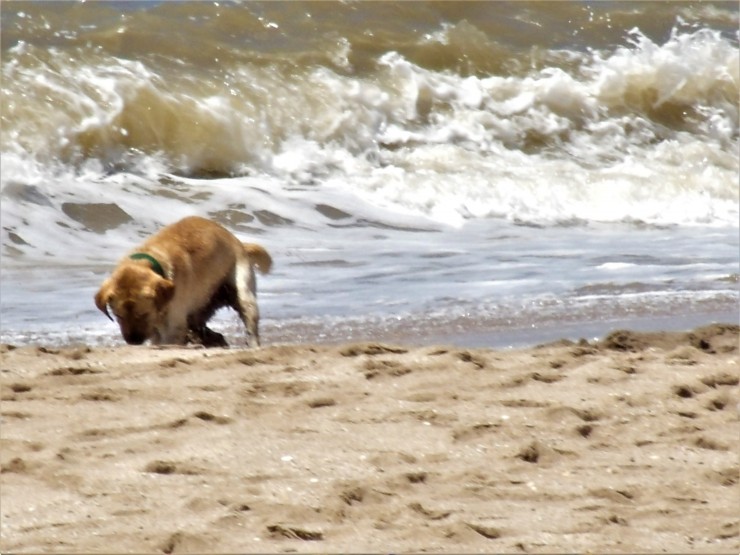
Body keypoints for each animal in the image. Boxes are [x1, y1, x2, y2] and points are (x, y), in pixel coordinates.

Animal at [94, 216, 270, 348]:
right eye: (118, 316)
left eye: (143, 314)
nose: (133, 341)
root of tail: (238, 242)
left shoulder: (172, 327)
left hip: (244, 294)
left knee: (250, 323)